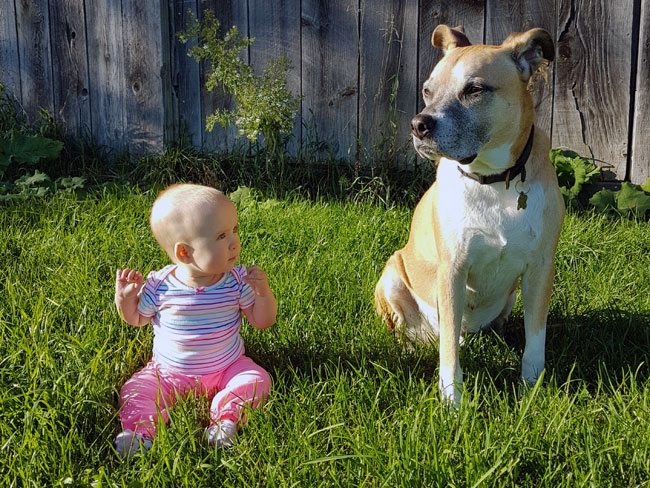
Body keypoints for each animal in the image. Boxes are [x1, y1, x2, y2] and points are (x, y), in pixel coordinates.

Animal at [374, 24, 560, 406]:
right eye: (427, 90)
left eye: (474, 90)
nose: (418, 124)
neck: (494, 181)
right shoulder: (453, 270)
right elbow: (449, 353)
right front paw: (451, 400)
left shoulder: (540, 269)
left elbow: (536, 338)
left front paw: (531, 388)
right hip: (391, 276)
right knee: (414, 331)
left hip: (510, 297)